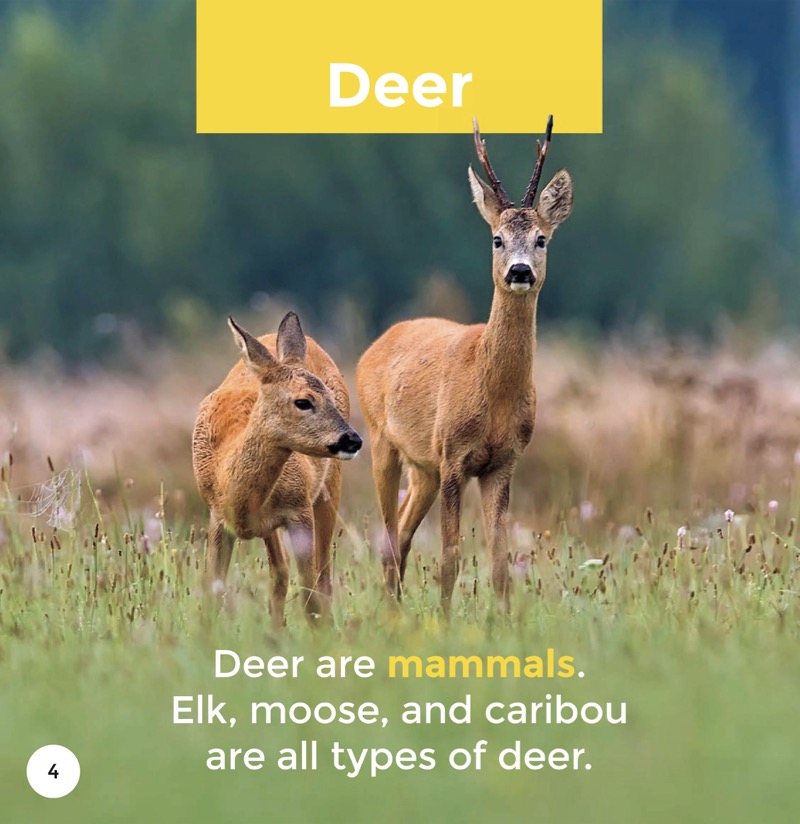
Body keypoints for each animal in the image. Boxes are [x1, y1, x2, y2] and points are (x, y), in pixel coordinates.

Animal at [192, 312, 362, 627]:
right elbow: (212, 590)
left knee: (322, 577)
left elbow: (309, 594)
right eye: (303, 402)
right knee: (280, 572)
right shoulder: (217, 516)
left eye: (330, 398)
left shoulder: (299, 509)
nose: (353, 440)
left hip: (329, 487)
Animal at [356, 116, 573, 614]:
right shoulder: (453, 454)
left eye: (541, 238)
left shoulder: (503, 462)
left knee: (401, 533)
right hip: (382, 442)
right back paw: (392, 614)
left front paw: (505, 623)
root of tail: (376, 344)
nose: (519, 271)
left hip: (423, 468)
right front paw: (445, 620)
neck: (491, 389)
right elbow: (451, 557)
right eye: (496, 238)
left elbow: (499, 563)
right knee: (389, 536)